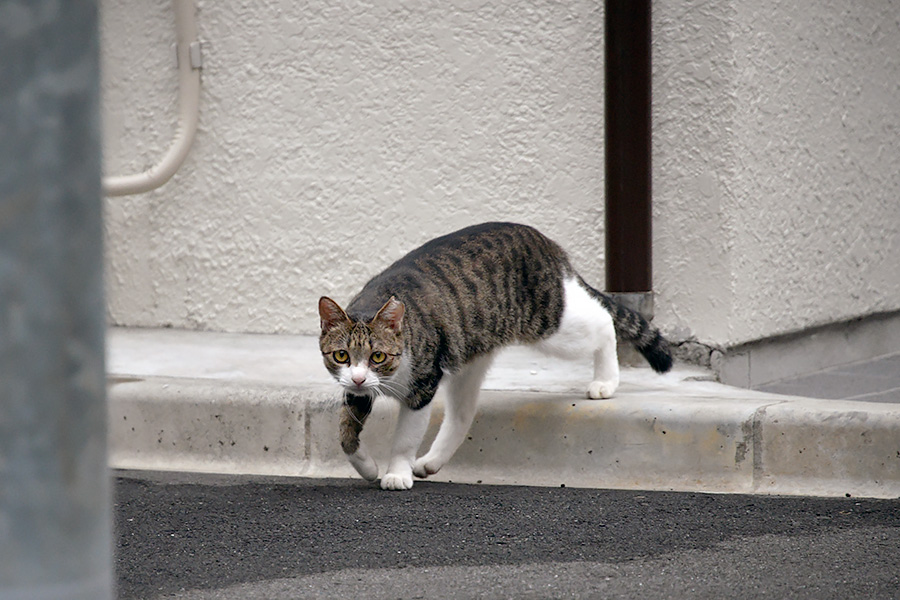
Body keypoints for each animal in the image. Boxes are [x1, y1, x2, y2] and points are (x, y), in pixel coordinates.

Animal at [320, 223, 672, 490]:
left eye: (378, 356)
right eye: (341, 355)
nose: (360, 377)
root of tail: (546, 243)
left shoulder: (423, 385)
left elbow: (405, 437)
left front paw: (396, 473)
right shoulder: (356, 390)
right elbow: (345, 433)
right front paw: (367, 467)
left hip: (549, 324)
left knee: (602, 320)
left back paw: (606, 381)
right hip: (469, 355)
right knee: (462, 415)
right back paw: (432, 462)